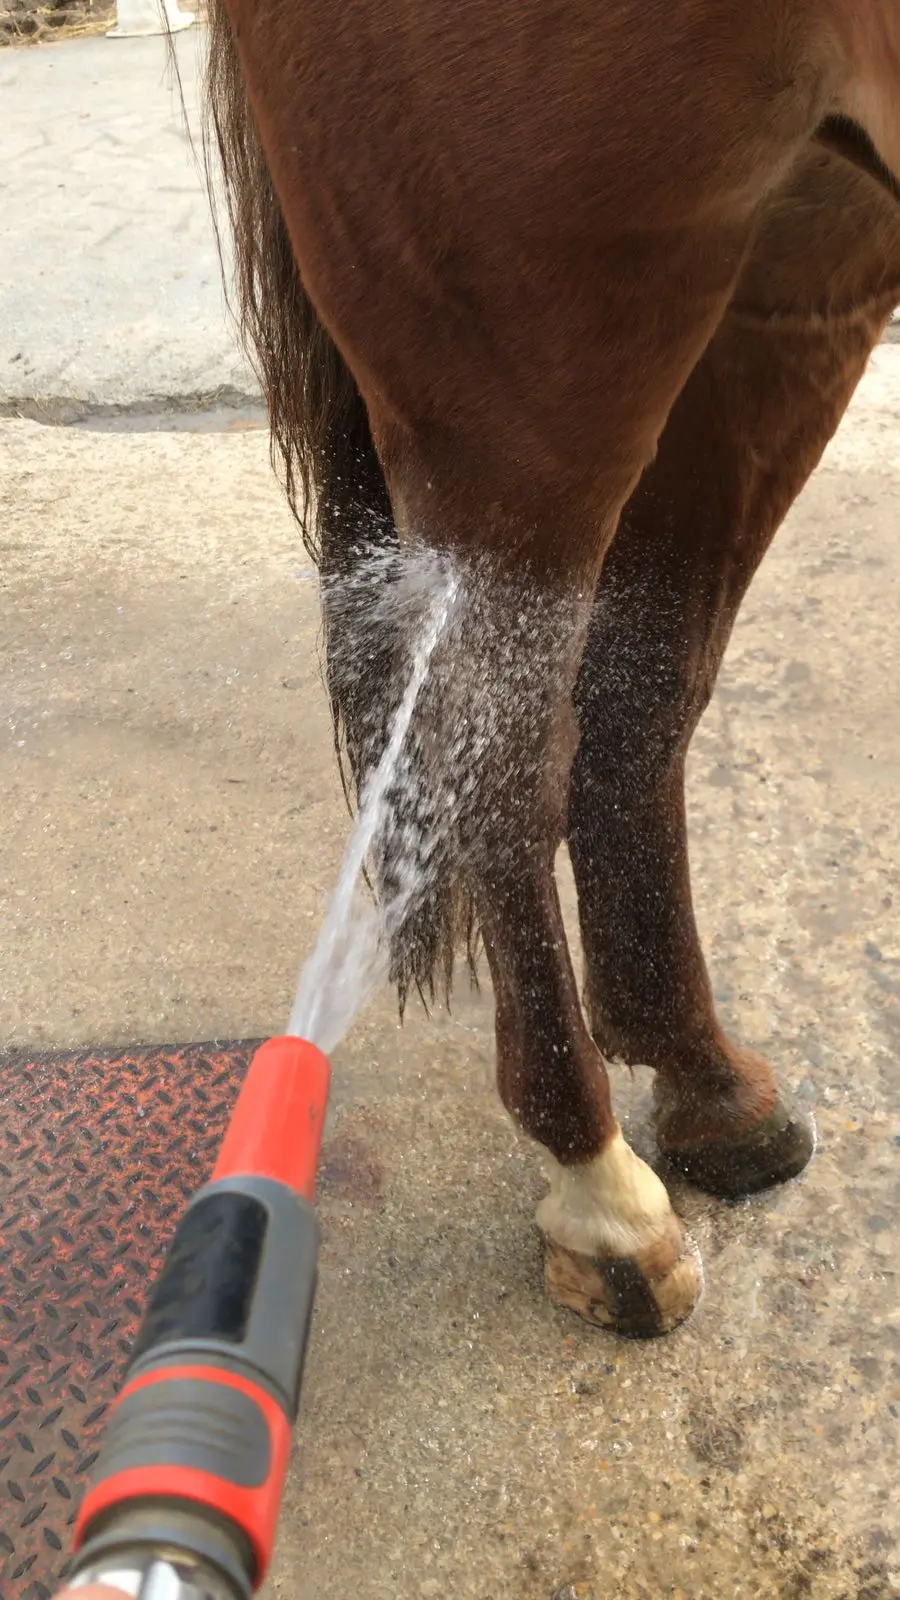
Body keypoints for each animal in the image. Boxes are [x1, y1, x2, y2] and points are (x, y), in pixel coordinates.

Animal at [203, 0, 900, 1339]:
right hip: (539, 349)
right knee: (506, 747)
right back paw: (600, 1189)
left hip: (792, 265)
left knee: (634, 702)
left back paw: (708, 1084)